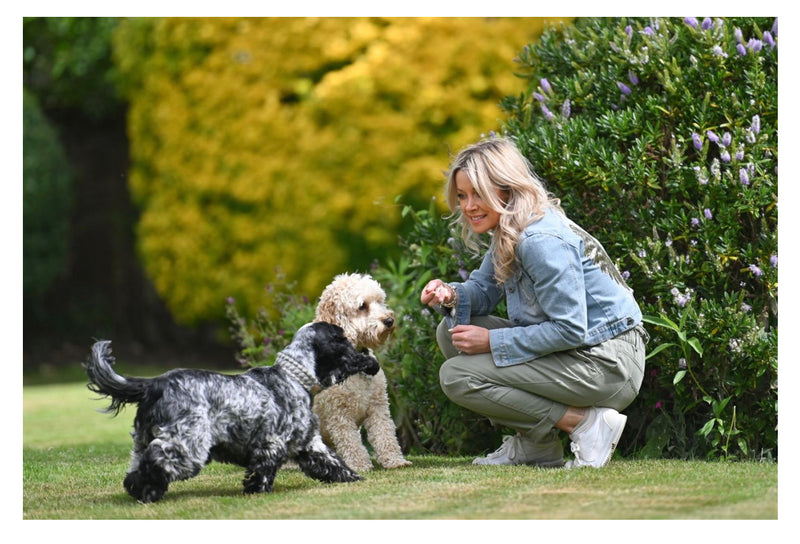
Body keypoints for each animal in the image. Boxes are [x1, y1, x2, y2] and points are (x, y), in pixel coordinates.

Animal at [84, 320, 378, 504]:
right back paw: (148, 491)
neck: (293, 377)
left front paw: (355, 478)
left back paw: (142, 491)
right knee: (157, 460)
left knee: (135, 468)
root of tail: (154, 384)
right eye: (344, 339)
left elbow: (333, 464)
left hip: (142, 440)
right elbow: (262, 472)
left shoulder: (309, 443)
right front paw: (257, 492)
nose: (367, 357)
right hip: (189, 444)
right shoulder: (271, 444)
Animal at [312, 272, 412, 472]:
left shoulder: (378, 407)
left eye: (379, 301)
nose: (389, 320)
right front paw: (360, 465)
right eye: (362, 306)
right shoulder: (339, 415)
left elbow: (385, 435)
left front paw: (394, 460)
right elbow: (351, 442)